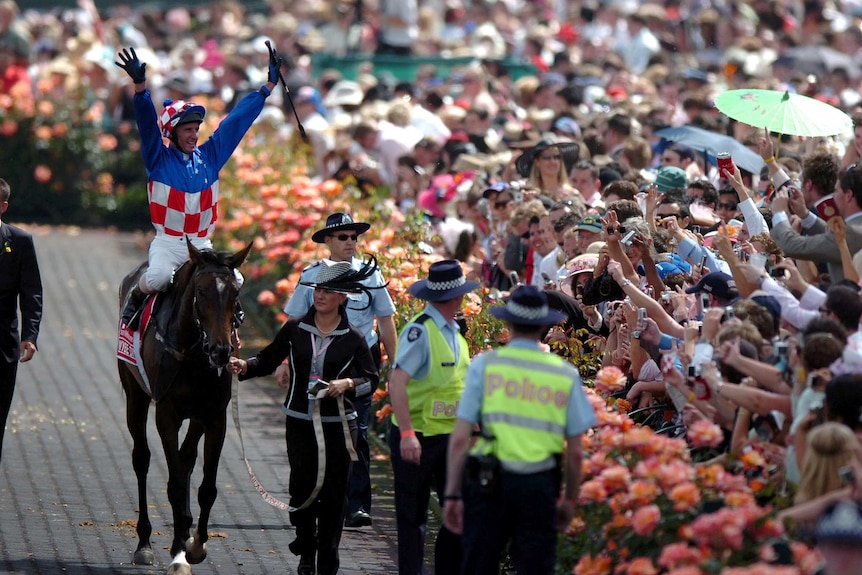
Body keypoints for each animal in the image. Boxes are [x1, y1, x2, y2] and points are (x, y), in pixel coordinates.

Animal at [118, 240, 253, 575]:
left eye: (235, 294)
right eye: (201, 292)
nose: (221, 351)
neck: (193, 353)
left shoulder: (215, 416)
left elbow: (207, 486)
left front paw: (196, 544)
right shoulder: (167, 413)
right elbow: (176, 484)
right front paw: (179, 554)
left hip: (197, 417)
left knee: (186, 457)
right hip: (135, 395)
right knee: (142, 459)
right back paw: (144, 543)